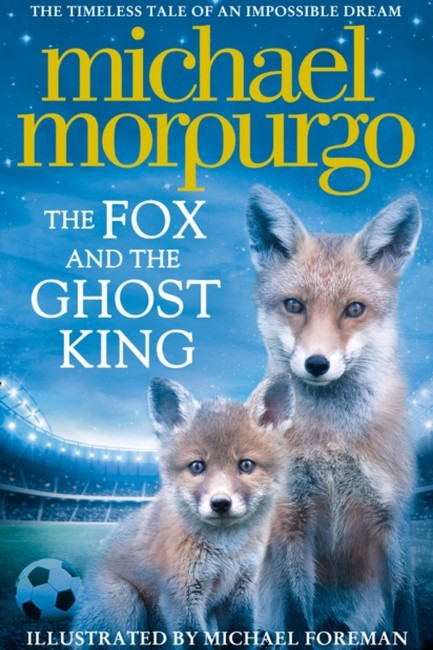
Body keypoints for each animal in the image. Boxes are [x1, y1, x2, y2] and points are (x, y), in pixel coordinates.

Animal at [72, 374, 294, 649]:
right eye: (197, 466)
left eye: (246, 465)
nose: (220, 503)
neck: (226, 551)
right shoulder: (180, 598)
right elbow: (195, 641)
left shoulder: (241, 591)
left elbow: (240, 635)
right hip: (124, 602)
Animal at [246, 186, 422, 649]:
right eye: (294, 305)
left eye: (354, 309)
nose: (317, 364)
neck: (333, 441)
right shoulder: (291, 519)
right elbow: (296, 618)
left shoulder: (392, 520)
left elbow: (405, 608)